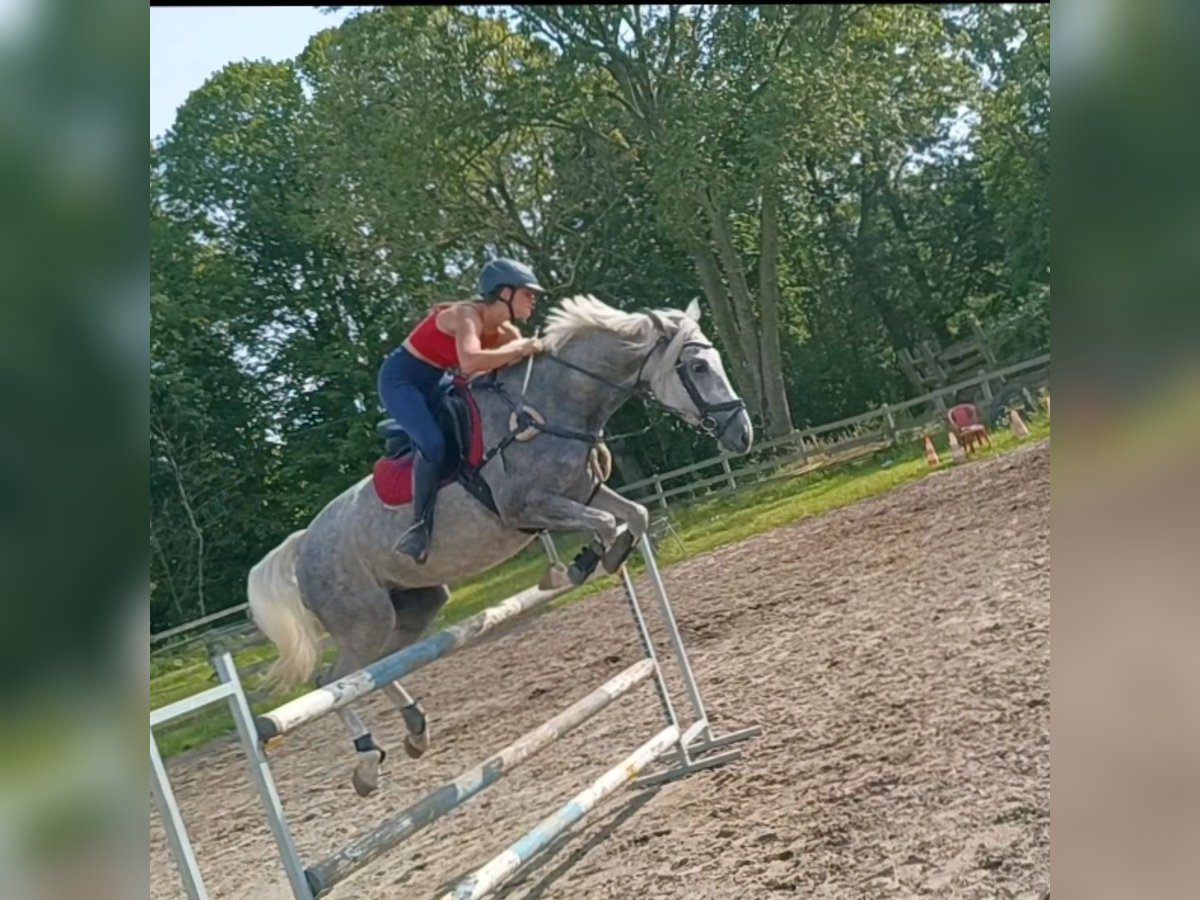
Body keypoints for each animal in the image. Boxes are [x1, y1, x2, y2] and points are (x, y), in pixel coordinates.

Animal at [247, 295, 753, 796]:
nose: (742, 433)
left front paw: (593, 559)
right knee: (334, 681)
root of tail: (304, 544)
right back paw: (368, 762)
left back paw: (415, 730)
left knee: (376, 670)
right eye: (698, 366)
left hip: (414, 606)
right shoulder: (526, 507)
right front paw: (584, 563)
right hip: (362, 620)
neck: (553, 406)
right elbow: (608, 524)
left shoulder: (584, 492)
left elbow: (634, 515)